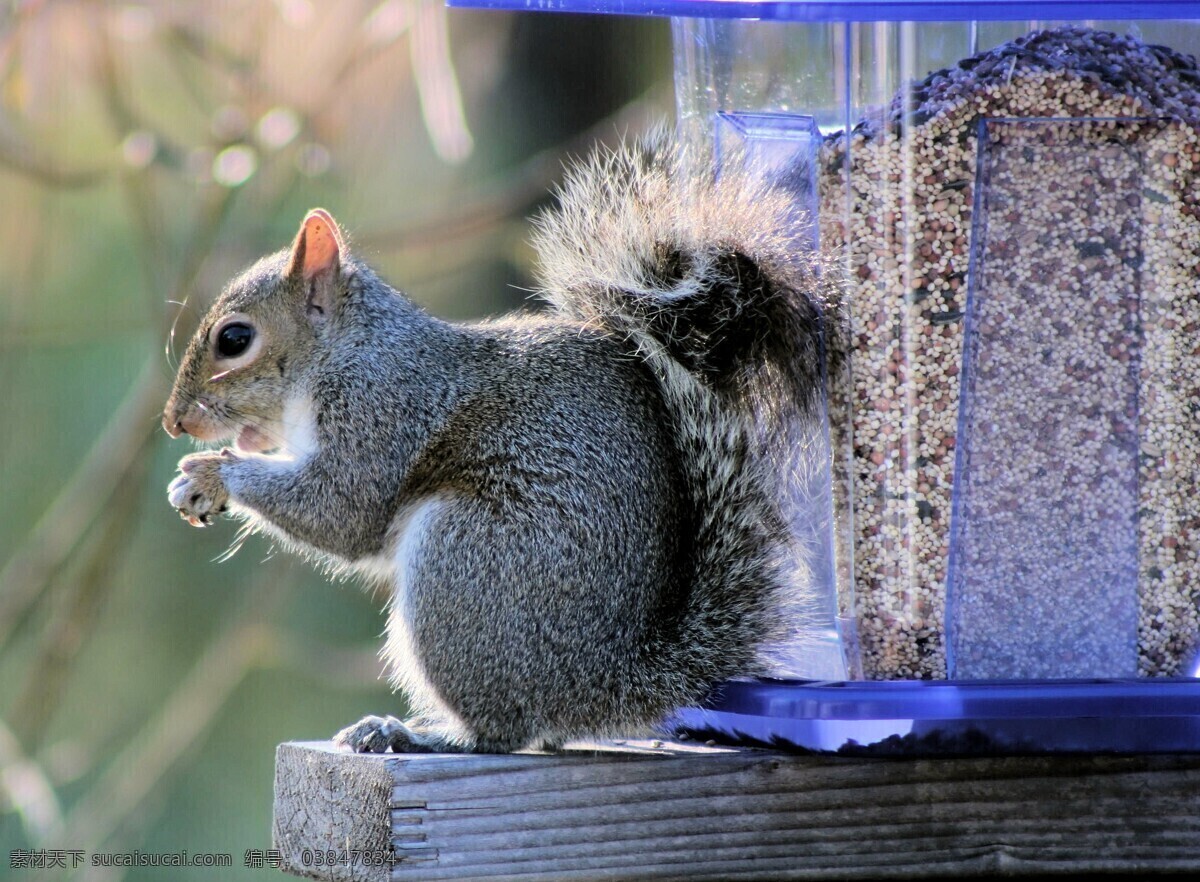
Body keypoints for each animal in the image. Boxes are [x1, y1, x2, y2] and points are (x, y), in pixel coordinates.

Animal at [162, 138, 835, 753]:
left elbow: (341, 510)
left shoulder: (383, 412)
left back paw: (419, 733)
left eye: (235, 339)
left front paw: (212, 474)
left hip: (462, 560)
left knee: (503, 732)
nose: (173, 422)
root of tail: (602, 682)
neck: (349, 351)